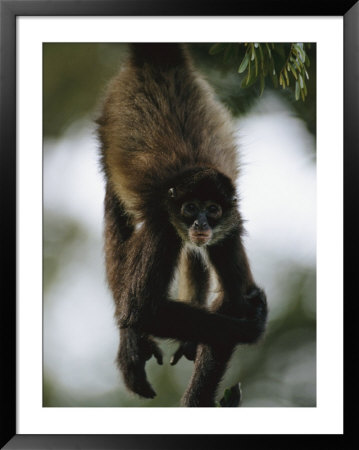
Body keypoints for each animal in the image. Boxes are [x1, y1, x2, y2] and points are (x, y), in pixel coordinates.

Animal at [97, 44, 268, 406]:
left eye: (213, 210)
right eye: (191, 208)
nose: (201, 222)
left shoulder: (229, 228)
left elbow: (234, 300)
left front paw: (198, 401)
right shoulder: (164, 224)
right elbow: (142, 310)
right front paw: (249, 327)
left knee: (193, 254)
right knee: (116, 212)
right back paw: (130, 344)